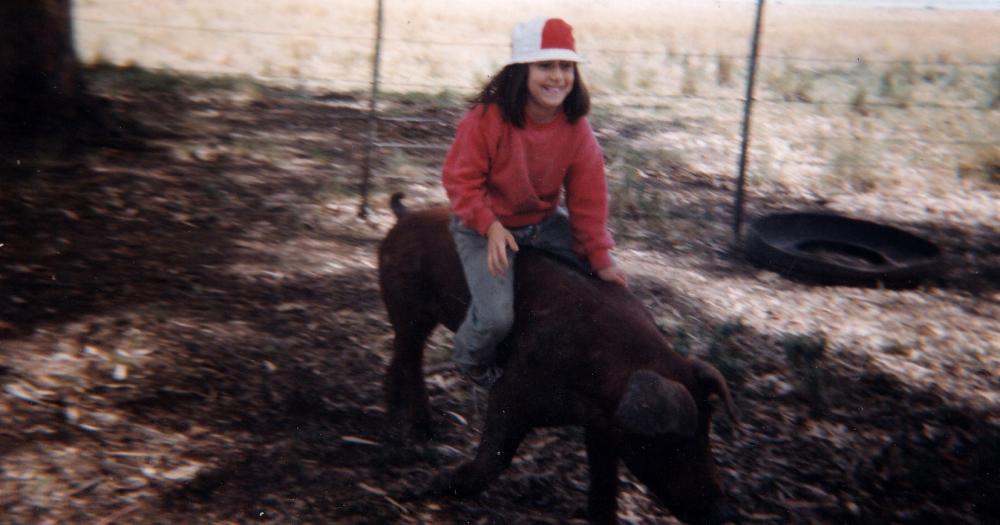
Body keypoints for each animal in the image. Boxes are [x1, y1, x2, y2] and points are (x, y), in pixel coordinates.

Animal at [378, 194, 740, 520]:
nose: (725, 513)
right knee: (410, 357)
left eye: (706, 432)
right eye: (674, 443)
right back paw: (414, 432)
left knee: (400, 357)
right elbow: (496, 456)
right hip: (406, 305)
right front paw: (431, 485)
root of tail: (403, 216)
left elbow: (605, 483)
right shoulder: (511, 392)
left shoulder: (602, 427)